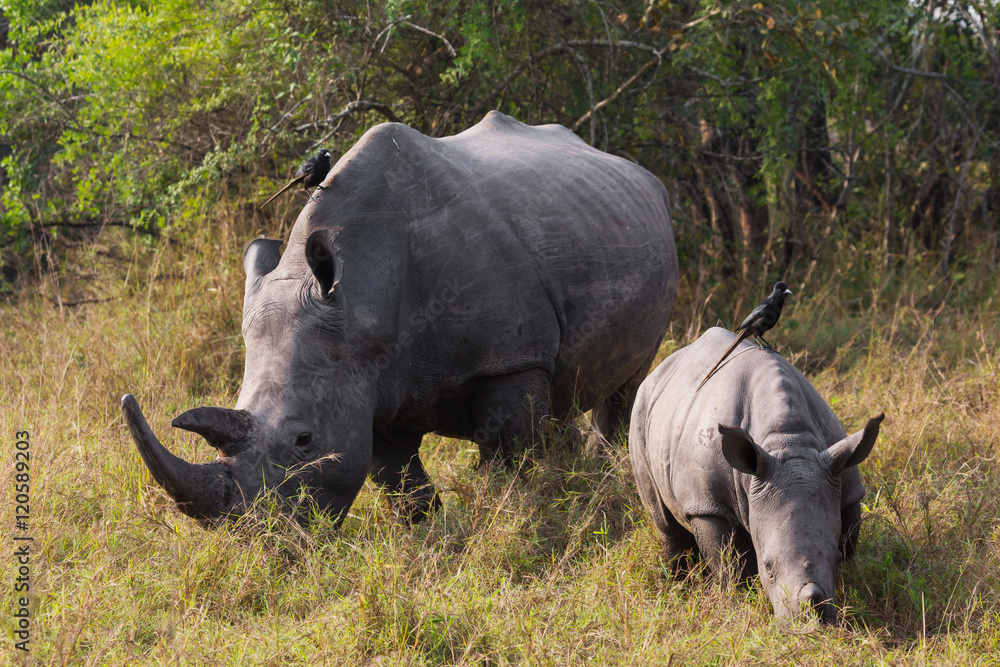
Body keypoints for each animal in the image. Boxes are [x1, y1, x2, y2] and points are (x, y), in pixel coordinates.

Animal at [122, 111, 679, 526]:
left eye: (304, 439)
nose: (260, 540)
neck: (364, 295)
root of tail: (638, 172)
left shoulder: (511, 361)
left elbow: (509, 461)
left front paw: (513, 513)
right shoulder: (367, 382)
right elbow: (399, 482)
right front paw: (427, 535)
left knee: (624, 386)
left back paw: (606, 471)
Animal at [629, 327, 883, 623]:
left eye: (835, 559)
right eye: (768, 566)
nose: (809, 619)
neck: (788, 442)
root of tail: (663, 366)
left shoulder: (846, 483)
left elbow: (850, 539)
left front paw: (852, 581)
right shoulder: (708, 504)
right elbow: (728, 561)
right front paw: (738, 602)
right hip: (640, 410)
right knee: (666, 522)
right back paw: (681, 584)